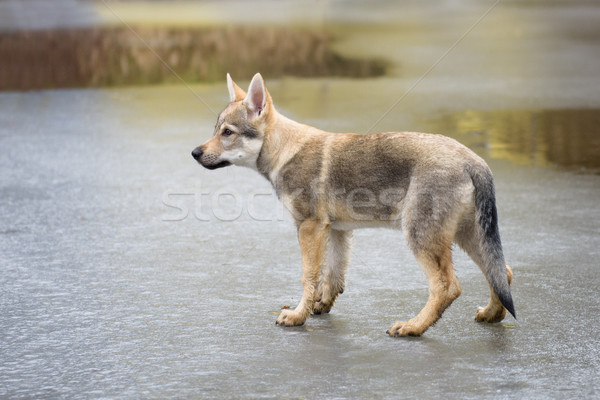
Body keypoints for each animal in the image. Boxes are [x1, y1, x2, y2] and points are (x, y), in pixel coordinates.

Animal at [193, 73, 516, 336]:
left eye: (227, 133)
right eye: (215, 129)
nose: (195, 152)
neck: (285, 150)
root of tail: (474, 159)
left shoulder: (309, 228)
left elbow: (309, 277)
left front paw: (298, 316)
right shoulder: (337, 231)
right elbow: (332, 277)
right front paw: (320, 306)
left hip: (421, 239)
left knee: (448, 287)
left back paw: (412, 327)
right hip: (465, 238)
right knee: (503, 272)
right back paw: (492, 314)